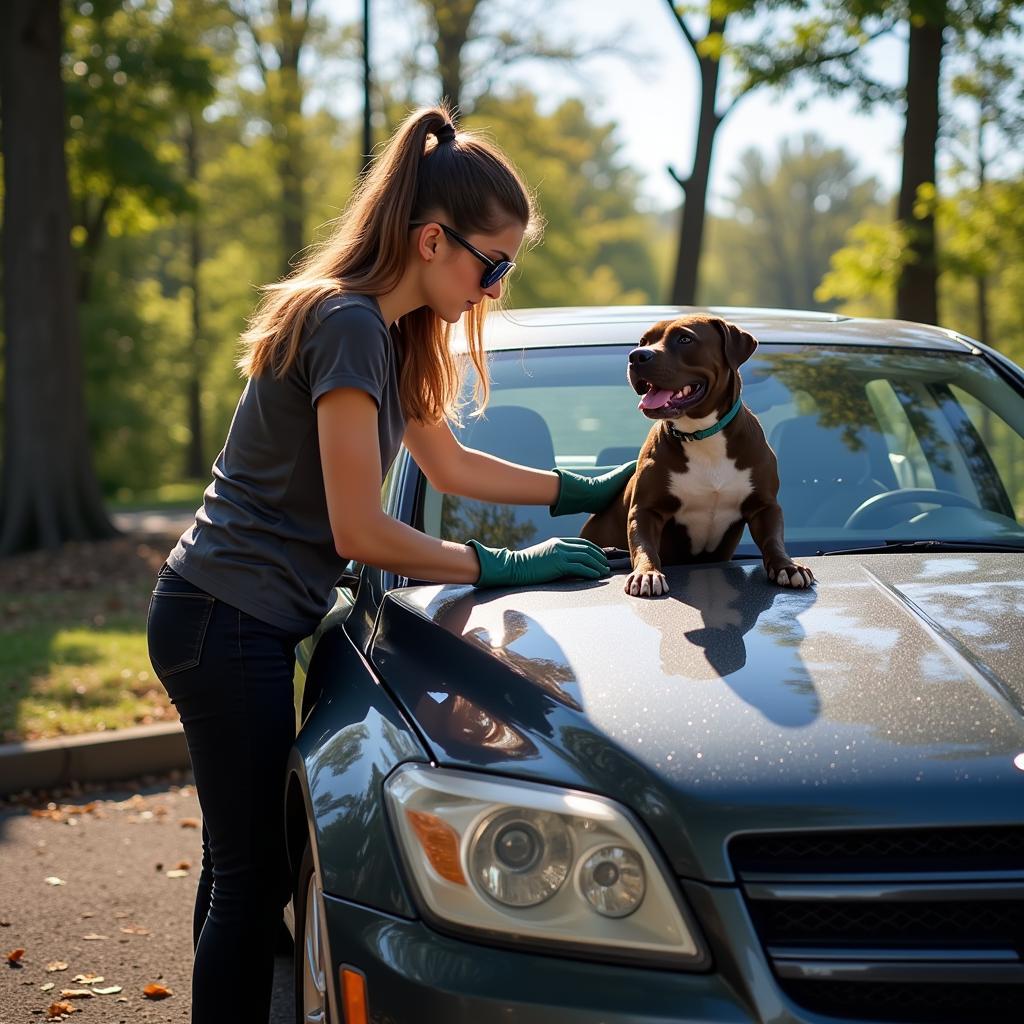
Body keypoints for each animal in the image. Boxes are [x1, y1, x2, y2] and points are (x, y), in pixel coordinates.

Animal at [585, 315, 815, 598]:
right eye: (643, 341)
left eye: (685, 339)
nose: (637, 356)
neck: (701, 435)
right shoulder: (645, 509)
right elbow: (643, 547)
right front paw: (647, 574)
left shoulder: (764, 506)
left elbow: (773, 540)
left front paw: (787, 567)